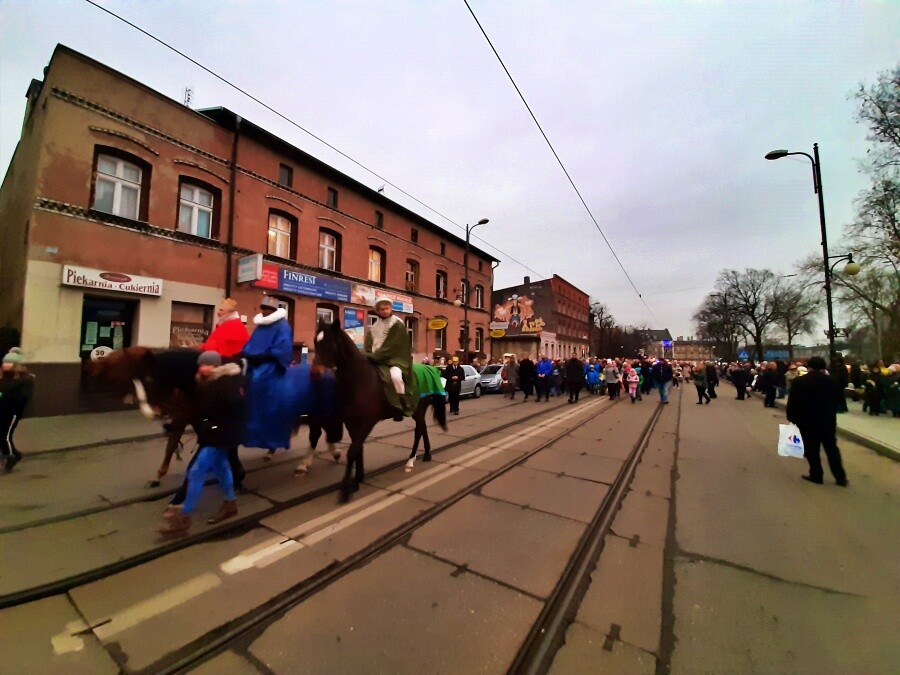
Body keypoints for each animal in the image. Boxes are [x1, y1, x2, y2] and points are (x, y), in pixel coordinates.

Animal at [312, 318, 448, 502]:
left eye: (330, 343)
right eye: (315, 342)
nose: (315, 373)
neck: (359, 380)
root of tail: (429, 368)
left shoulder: (367, 423)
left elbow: (352, 451)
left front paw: (345, 490)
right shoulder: (352, 422)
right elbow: (358, 449)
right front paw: (357, 480)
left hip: (418, 410)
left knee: (418, 431)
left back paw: (410, 461)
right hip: (416, 411)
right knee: (423, 428)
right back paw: (426, 454)